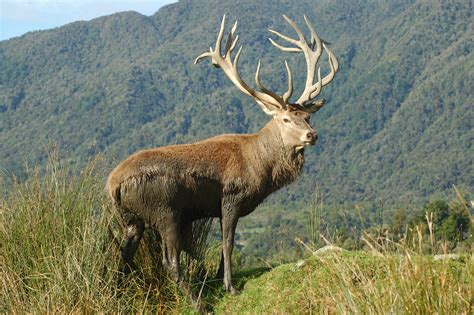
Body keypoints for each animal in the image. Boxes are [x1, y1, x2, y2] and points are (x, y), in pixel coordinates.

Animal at [106, 14, 338, 296]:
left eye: (307, 117)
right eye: (285, 119)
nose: (311, 135)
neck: (261, 168)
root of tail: (113, 186)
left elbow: (224, 246)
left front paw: (220, 279)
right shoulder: (231, 198)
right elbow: (227, 243)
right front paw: (230, 286)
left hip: (130, 220)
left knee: (123, 258)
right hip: (165, 211)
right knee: (169, 261)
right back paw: (195, 299)